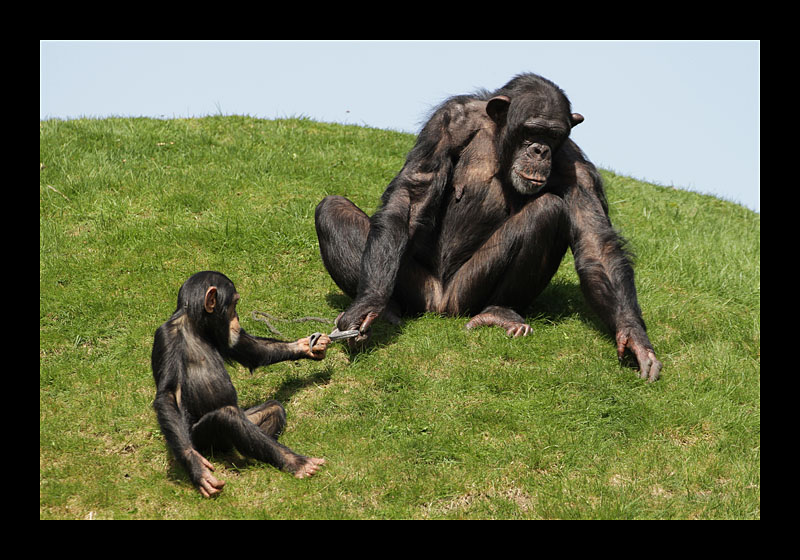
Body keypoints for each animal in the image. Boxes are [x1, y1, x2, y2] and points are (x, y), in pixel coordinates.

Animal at [153, 270, 328, 496]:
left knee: (273, 408)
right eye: (234, 304)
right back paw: (297, 463)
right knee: (228, 417)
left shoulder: (223, 336)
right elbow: (167, 395)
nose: (236, 318)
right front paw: (196, 467)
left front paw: (306, 346)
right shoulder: (166, 337)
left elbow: (248, 349)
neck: (196, 326)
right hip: (200, 439)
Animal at [318, 73, 664, 380]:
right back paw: (388, 309)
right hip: (417, 289)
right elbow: (412, 197)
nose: (540, 150)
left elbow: (597, 245)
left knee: (548, 210)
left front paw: (633, 336)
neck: (499, 141)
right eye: (531, 130)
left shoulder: (576, 167)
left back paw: (499, 313)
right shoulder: (447, 123)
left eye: (553, 135)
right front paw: (369, 303)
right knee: (331, 209)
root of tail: (439, 306)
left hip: (465, 293)